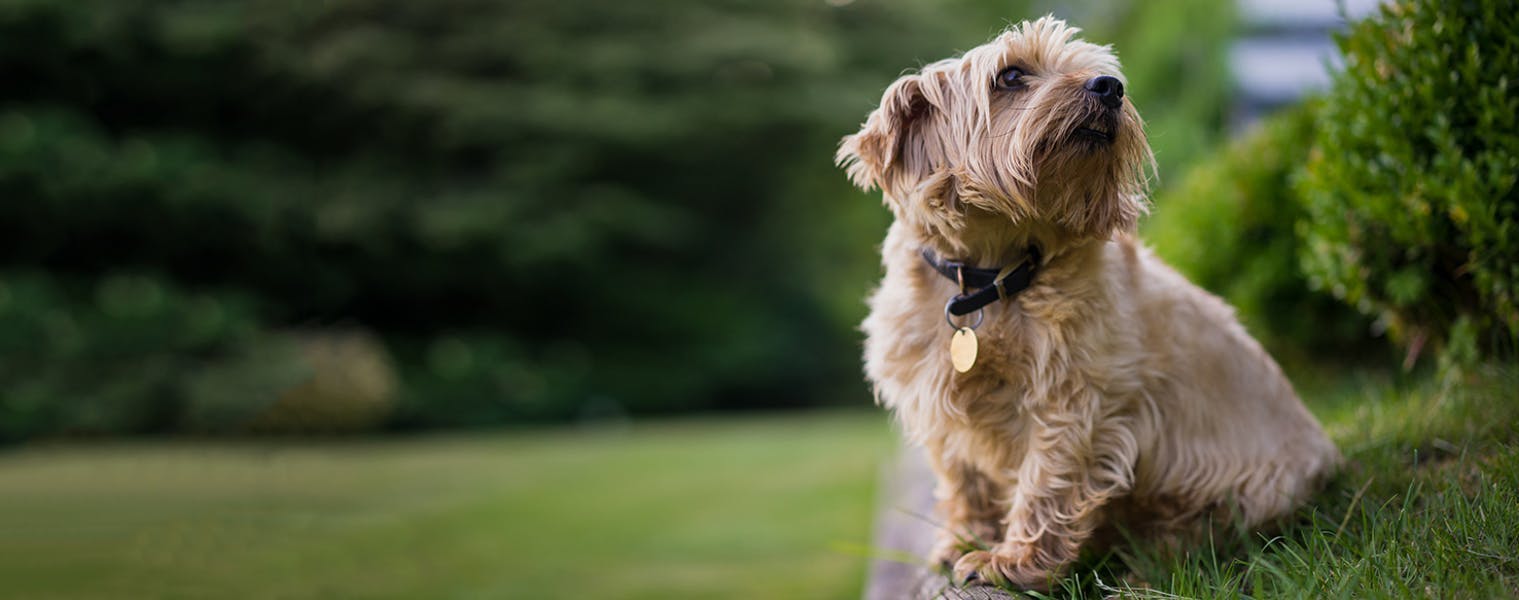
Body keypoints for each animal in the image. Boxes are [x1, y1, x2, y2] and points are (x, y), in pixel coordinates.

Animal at [838, 16, 1348, 589]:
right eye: (1010, 75)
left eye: (1101, 72)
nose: (1110, 87)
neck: (990, 277)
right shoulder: (940, 403)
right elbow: (964, 479)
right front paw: (964, 542)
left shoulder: (1074, 404)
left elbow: (1045, 481)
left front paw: (1009, 563)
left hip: (1247, 490)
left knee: (1208, 536)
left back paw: (1142, 561)